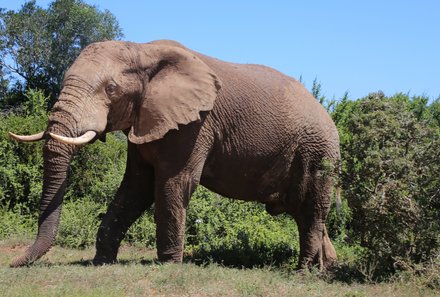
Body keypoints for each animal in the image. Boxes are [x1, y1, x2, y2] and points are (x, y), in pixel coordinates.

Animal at [9, 39, 340, 268]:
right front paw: (101, 262)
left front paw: (168, 264)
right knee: (305, 213)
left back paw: (303, 271)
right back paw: (324, 270)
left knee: (312, 211)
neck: (143, 50)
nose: (12, 263)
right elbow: (135, 187)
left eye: (111, 89)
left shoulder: (195, 126)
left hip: (318, 154)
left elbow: (173, 183)